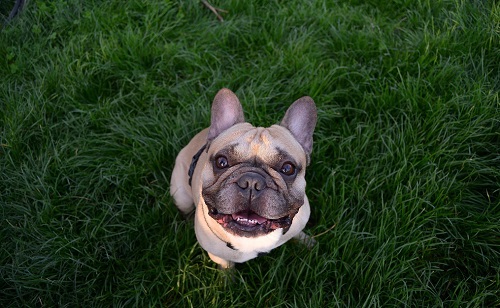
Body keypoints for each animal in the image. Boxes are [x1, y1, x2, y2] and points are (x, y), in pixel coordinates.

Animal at [170, 88, 318, 268]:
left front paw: (309, 243)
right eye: (221, 162)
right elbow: (227, 271)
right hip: (181, 195)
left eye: (288, 168)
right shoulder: (220, 258)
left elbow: (298, 234)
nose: (252, 182)